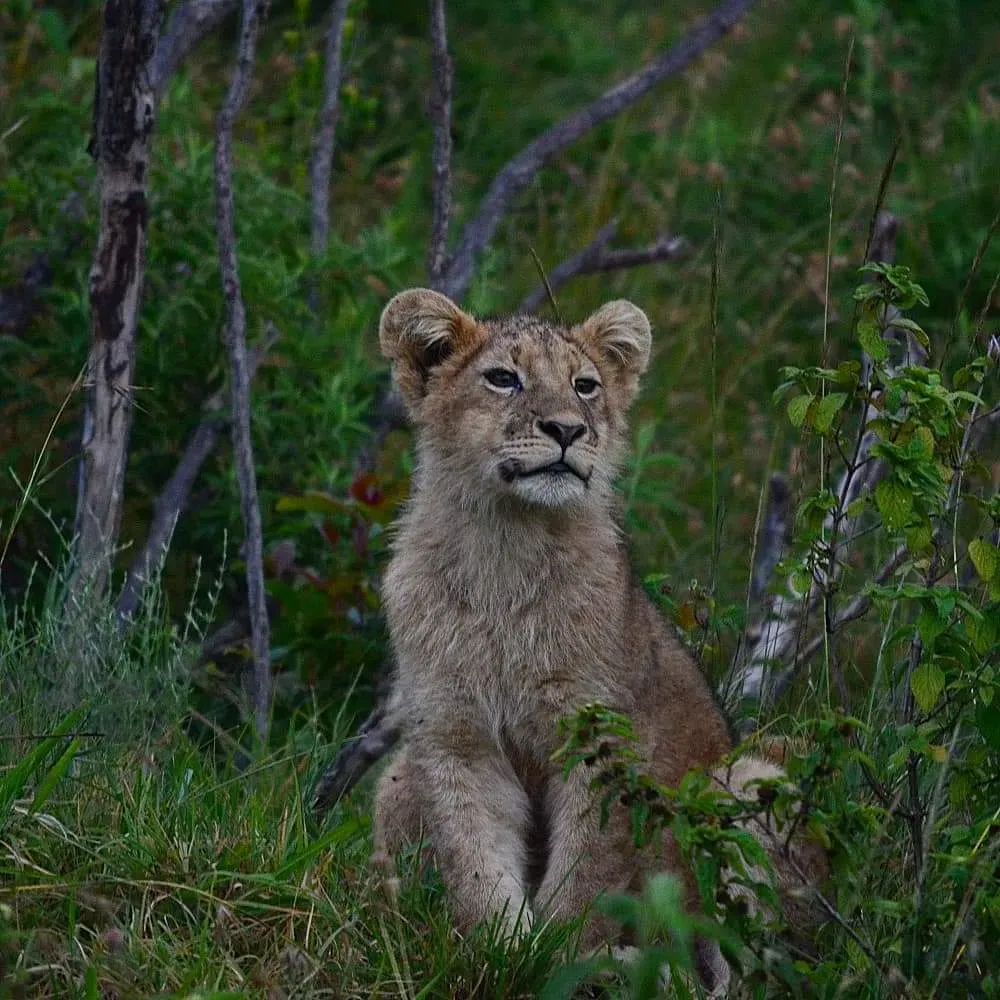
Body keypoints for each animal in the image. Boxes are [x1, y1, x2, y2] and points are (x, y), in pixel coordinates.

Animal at [362, 288, 825, 992]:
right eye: (504, 378)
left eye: (585, 386)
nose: (567, 430)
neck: (506, 547)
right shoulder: (455, 738)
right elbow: (474, 863)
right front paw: (502, 956)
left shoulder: (603, 737)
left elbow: (588, 872)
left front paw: (562, 957)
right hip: (396, 781)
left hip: (749, 778)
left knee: (753, 966)